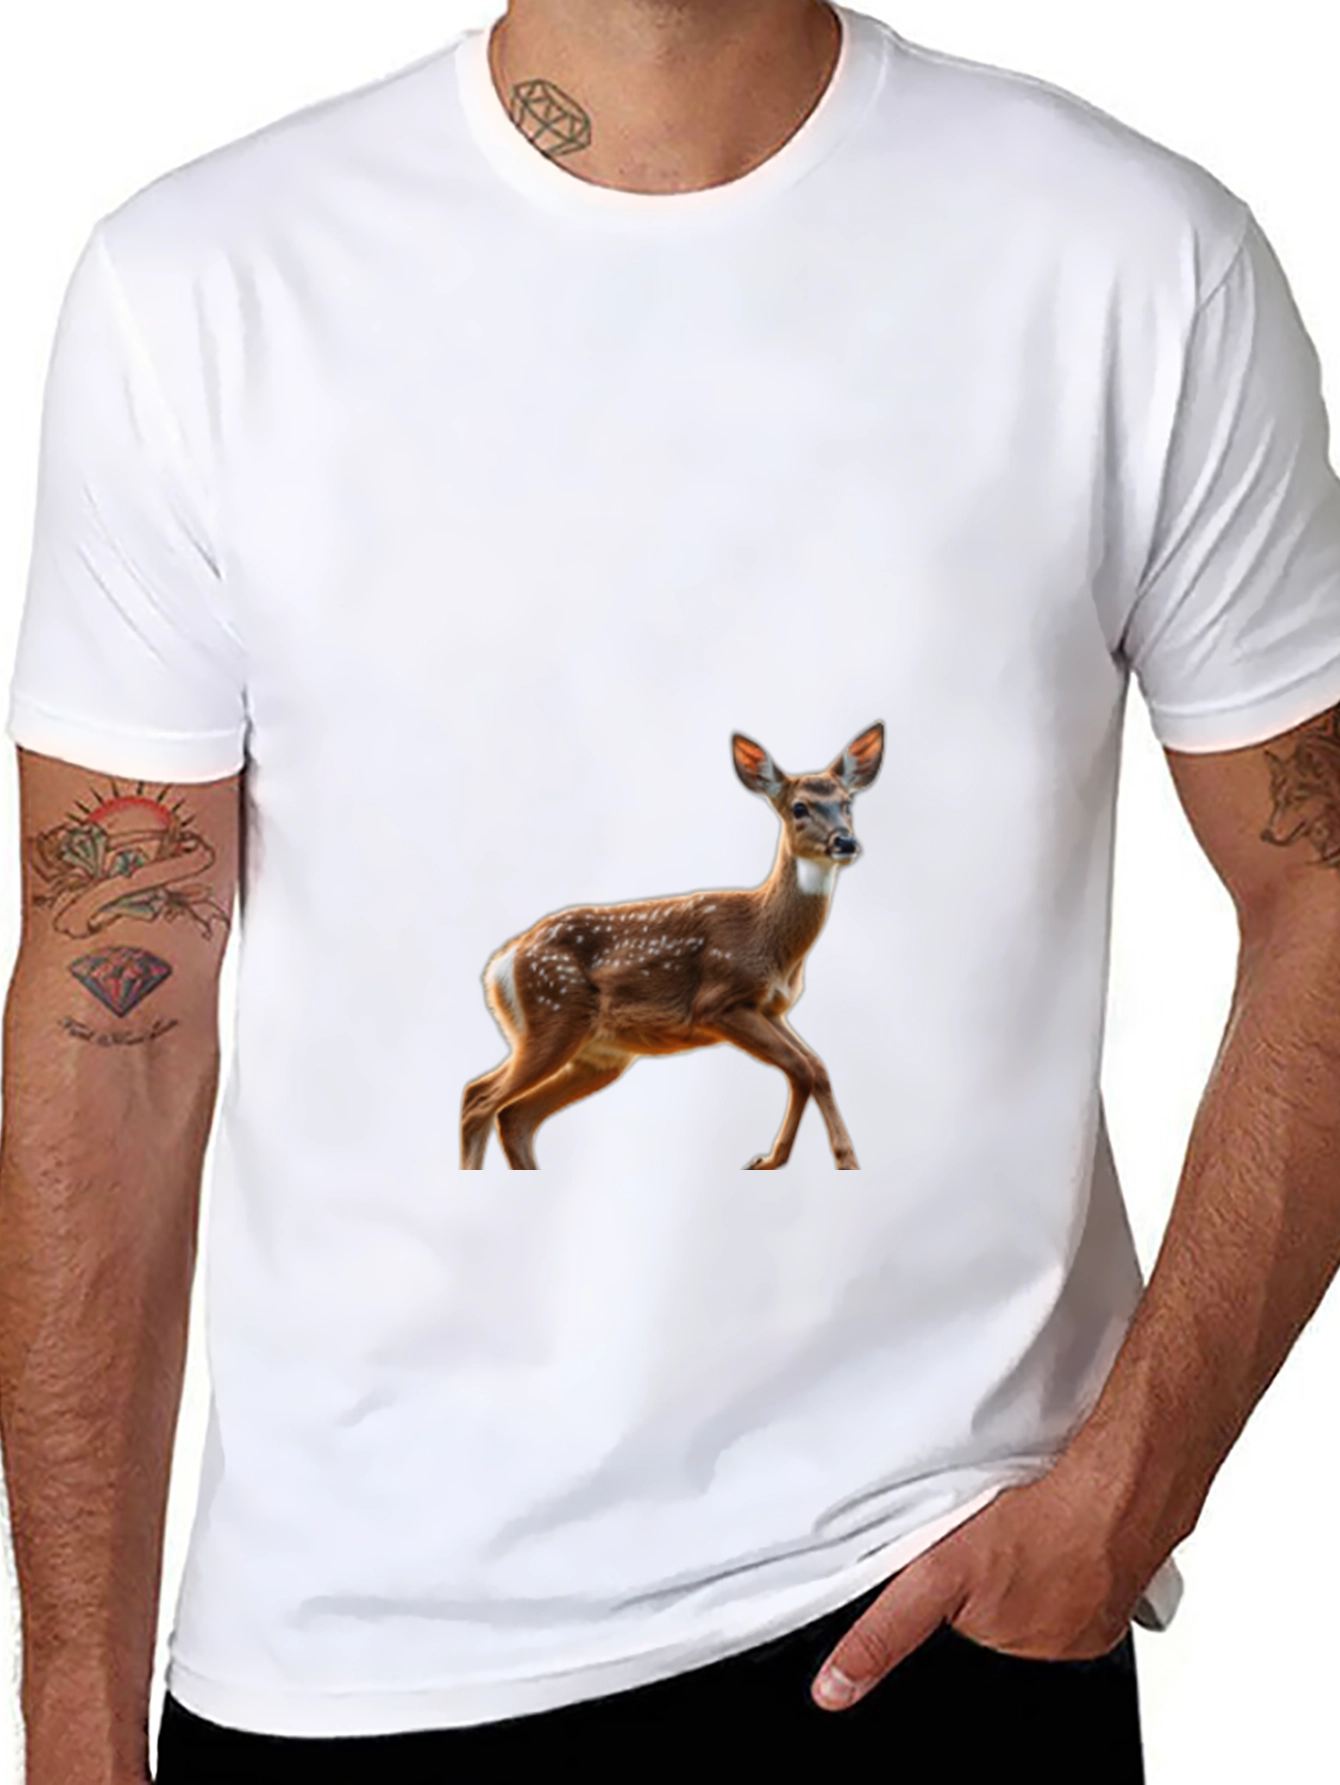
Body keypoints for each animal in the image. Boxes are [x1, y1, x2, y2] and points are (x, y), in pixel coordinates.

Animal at [460, 721, 885, 1171]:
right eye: (800, 808)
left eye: (847, 803)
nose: (845, 842)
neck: (768, 938)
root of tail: (499, 964)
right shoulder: (718, 1002)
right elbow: (800, 1067)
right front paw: (769, 1160)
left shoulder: (773, 1009)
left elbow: (818, 1066)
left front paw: (846, 1160)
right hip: (553, 1014)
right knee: (479, 1098)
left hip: (599, 1055)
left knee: (514, 1116)